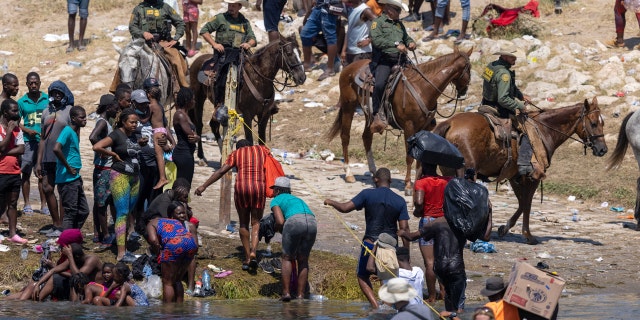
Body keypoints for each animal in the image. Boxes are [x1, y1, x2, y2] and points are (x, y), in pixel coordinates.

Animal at [188, 33, 308, 161]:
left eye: (300, 52)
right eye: (289, 53)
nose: (302, 77)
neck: (259, 78)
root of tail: (197, 60)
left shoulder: (264, 115)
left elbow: (262, 141)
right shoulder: (247, 115)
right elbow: (249, 140)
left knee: (213, 125)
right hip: (199, 98)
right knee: (199, 125)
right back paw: (201, 156)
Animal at [328, 46, 472, 194]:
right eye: (469, 68)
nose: (464, 91)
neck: (422, 88)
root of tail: (348, 67)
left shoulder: (423, 128)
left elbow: (420, 156)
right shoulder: (409, 127)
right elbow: (409, 157)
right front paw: (408, 186)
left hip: (369, 114)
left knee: (367, 137)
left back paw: (374, 173)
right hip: (348, 107)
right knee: (345, 137)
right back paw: (349, 173)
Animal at [432, 99, 608, 244]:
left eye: (602, 123)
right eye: (593, 123)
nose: (603, 149)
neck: (543, 131)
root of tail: (449, 123)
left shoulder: (515, 176)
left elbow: (522, 202)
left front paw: (504, 228)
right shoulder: (532, 177)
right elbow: (527, 203)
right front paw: (527, 235)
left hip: (449, 171)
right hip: (467, 173)